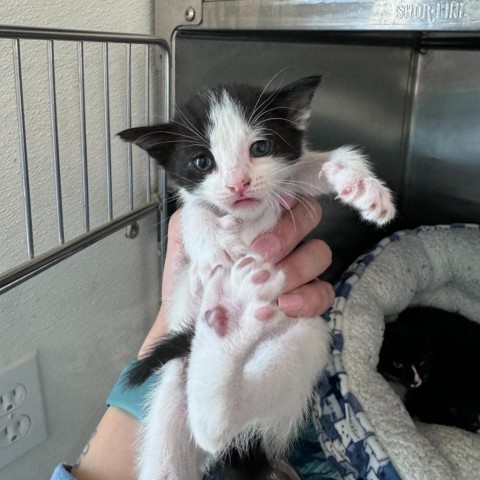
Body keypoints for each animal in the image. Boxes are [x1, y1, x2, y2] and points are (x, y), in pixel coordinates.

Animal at [119, 77, 394, 478]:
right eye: (203, 161)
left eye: (260, 148)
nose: (239, 184)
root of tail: (230, 452)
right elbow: (193, 212)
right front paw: (215, 243)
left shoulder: (288, 185)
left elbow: (308, 165)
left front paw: (358, 181)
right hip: (171, 399)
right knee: (196, 439)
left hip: (304, 333)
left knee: (219, 424)